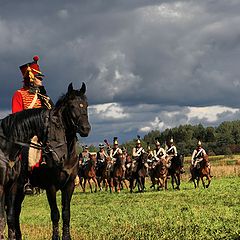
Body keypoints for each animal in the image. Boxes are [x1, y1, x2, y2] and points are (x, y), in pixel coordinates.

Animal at [0, 83, 90, 240]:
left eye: (86, 105)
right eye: (72, 106)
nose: (86, 129)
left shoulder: (69, 185)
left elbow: (66, 213)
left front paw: (67, 237)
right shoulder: (51, 187)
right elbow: (55, 214)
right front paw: (55, 237)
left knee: (15, 212)